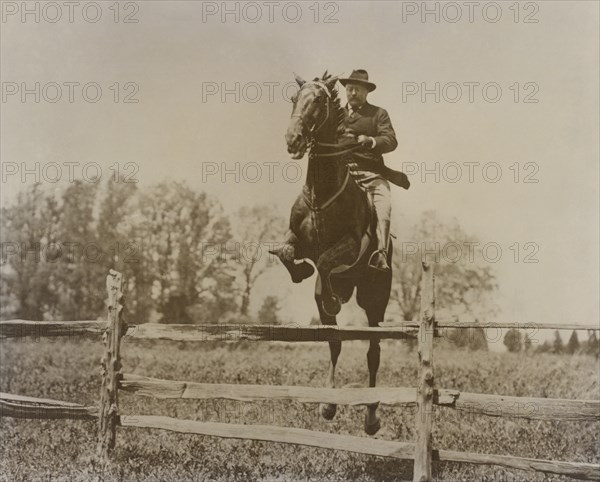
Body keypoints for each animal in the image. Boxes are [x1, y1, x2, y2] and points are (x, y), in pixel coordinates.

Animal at [270, 72, 394, 436]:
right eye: (294, 99)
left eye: (320, 101)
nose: (293, 139)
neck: (322, 192)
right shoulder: (297, 240)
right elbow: (286, 253)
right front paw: (302, 272)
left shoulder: (351, 245)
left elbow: (326, 260)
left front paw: (332, 298)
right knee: (334, 341)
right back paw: (328, 404)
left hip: (374, 301)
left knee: (373, 351)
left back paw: (371, 416)